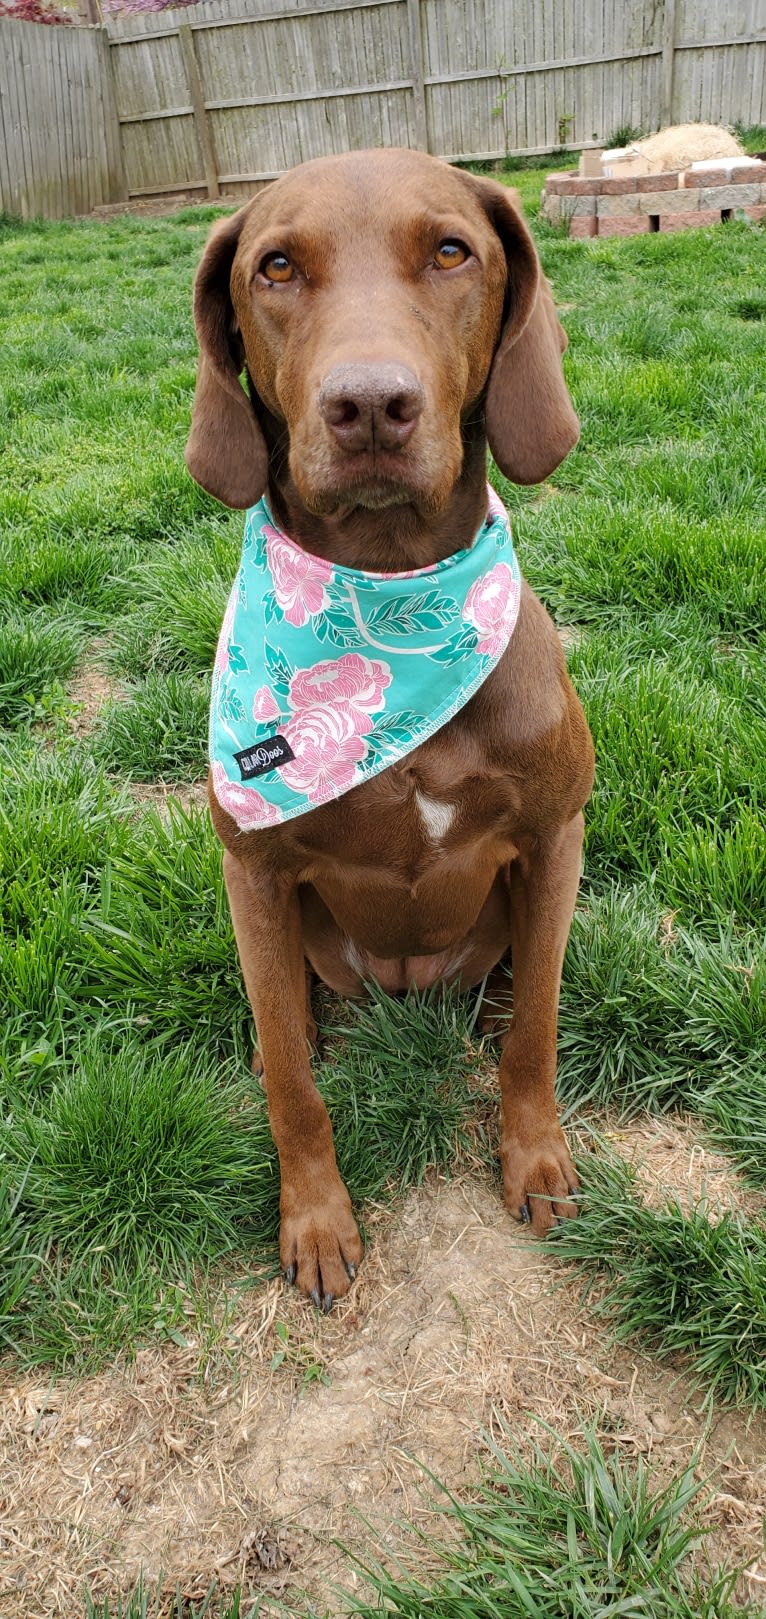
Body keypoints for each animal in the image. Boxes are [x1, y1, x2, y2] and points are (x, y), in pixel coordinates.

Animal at [183, 148, 592, 1314]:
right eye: (276, 267)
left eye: (452, 250)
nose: (370, 404)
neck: (389, 598)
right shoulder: (253, 873)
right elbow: (290, 1079)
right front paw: (316, 1220)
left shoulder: (556, 837)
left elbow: (539, 1031)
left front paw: (535, 1158)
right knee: (293, 1018)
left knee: (517, 985)